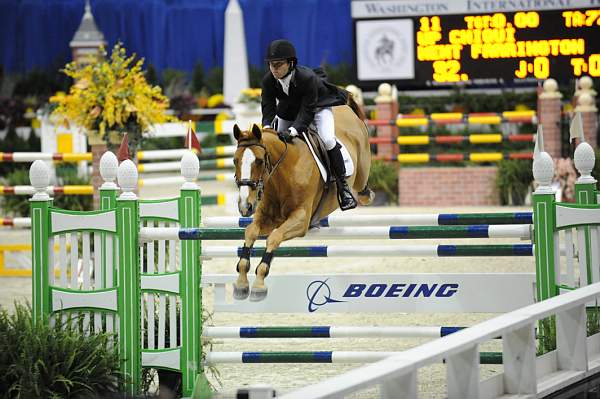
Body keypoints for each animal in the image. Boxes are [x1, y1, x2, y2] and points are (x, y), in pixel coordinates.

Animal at [232, 98, 372, 302]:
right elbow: (250, 233)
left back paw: (358, 196)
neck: (282, 174)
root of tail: (345, 108)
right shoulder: (267, 217)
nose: (245, 206)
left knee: (362, 187)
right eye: (235, 160)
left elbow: (274, 238)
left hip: (361, 172)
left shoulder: (300, 218)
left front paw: (258, 284)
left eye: (258, 161)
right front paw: (241, 284)